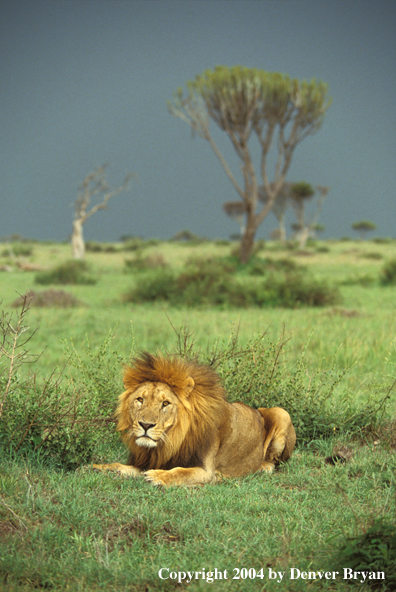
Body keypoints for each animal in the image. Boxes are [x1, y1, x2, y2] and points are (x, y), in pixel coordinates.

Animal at [93, 352, 296, 486]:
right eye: (140, 400)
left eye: (165, 403)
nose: (145, 425)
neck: (171, 440)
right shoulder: (148, 461)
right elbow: (122, 466)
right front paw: (99, 467)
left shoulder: (206, 471)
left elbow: (180, 472)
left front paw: (158, 477)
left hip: (281, 413)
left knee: (273, 461)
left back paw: (262, 468)